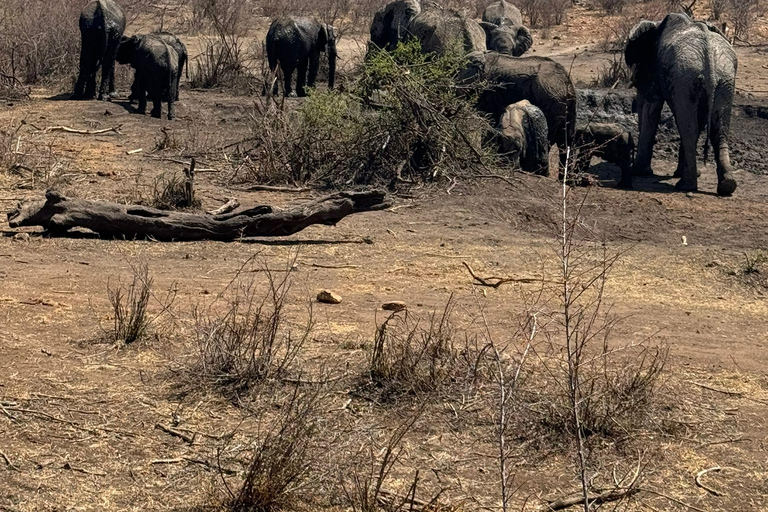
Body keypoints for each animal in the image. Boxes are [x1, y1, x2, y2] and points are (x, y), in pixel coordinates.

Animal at [624, 13, 736, 196]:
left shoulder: (657, 69)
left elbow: (652, 108)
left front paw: (638, 172)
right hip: (723, 80)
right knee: (717, 130)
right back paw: (727, 186)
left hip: (685, 77)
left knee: (689, 129)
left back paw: (685, 185)